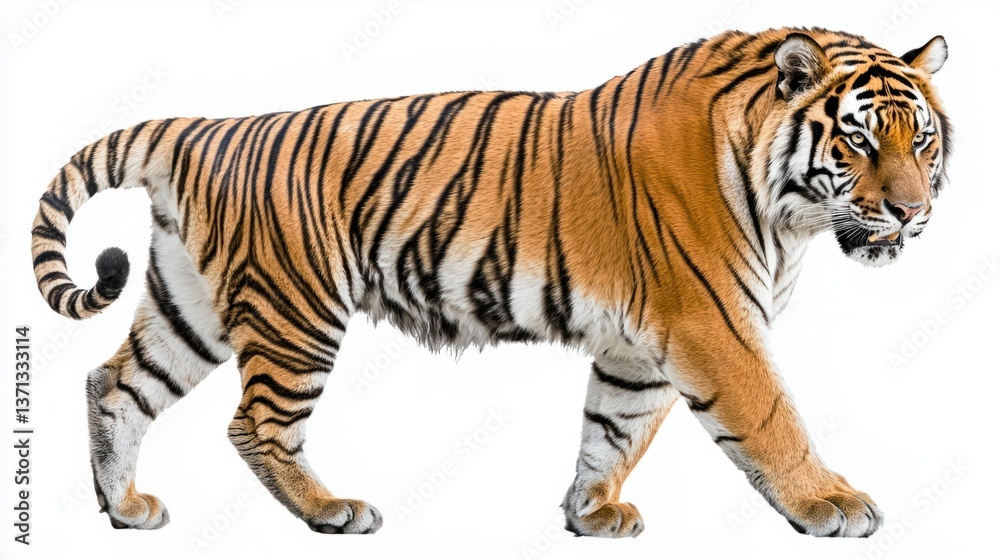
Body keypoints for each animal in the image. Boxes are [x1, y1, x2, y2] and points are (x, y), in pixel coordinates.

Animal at [30, 27, 950, 538]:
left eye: (923, 140)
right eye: (860, 141)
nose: (911, 213)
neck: (785, 212)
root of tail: (205, 128)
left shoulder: (642, 346)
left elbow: (613, 429)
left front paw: (590, 514)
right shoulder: (713, 325)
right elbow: (771, 419)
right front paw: (831, 504)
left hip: (190, 307)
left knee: (114, 383)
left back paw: (123, 507)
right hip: (297, 312)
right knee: (254, 424)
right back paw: (331, 511)